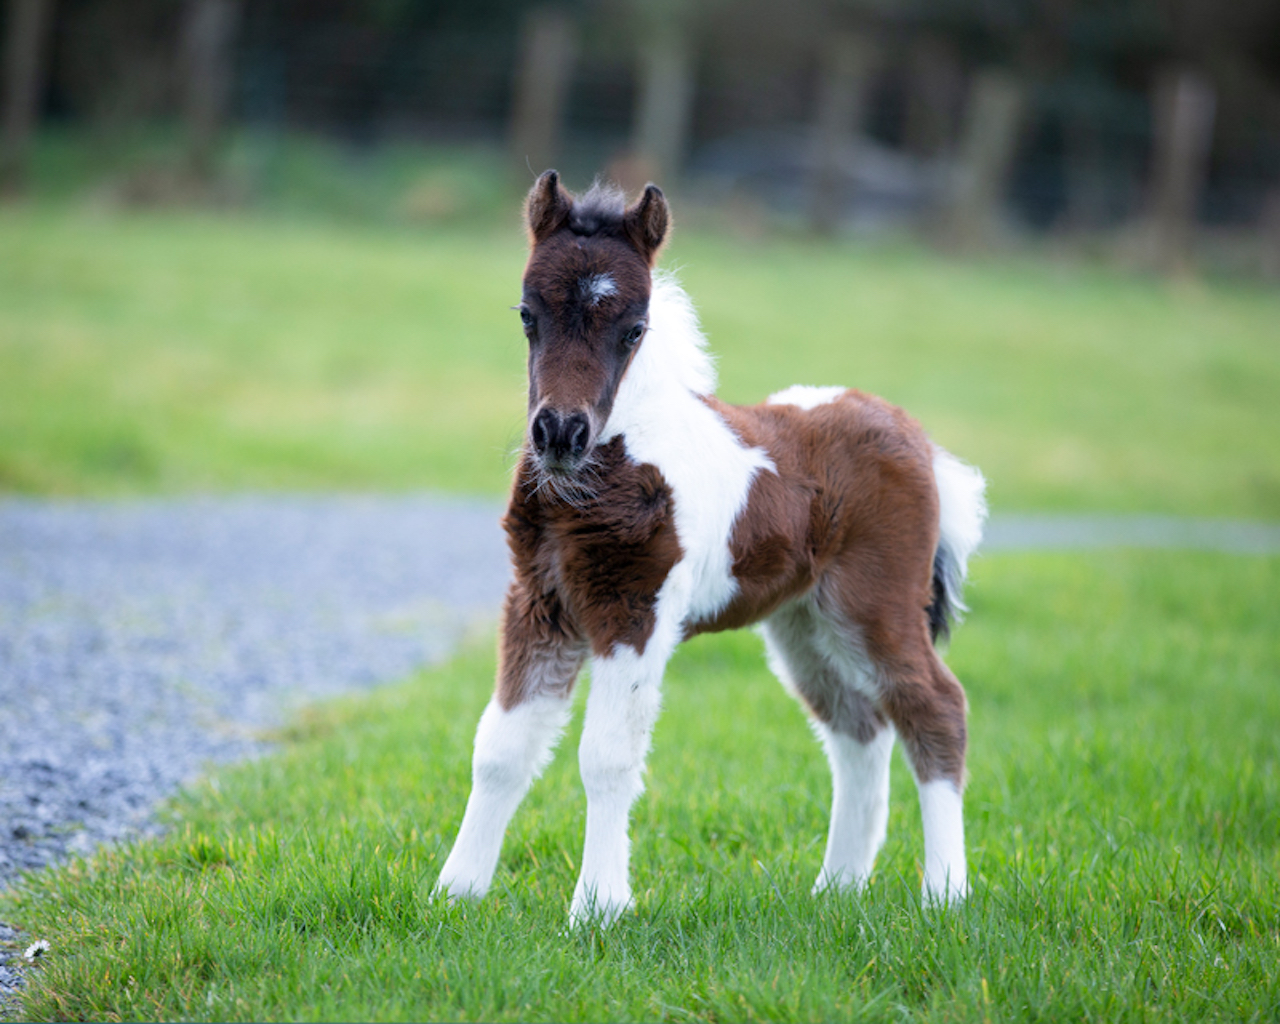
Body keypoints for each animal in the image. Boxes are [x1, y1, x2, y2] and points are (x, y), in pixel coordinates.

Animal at [434, 171, 987, 924]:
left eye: (634, 328)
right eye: (526, 314)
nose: (559, 433)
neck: (621, 457)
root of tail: (916, 438)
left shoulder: (633, 610)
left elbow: (605, 756)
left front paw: (598, 907)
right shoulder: (540, 604)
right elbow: (499, 748)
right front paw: (454, 895)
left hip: (876, 606)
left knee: (934, 707)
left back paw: (945, 894)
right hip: (804, 625)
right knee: (858, 729)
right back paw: (836, 890)